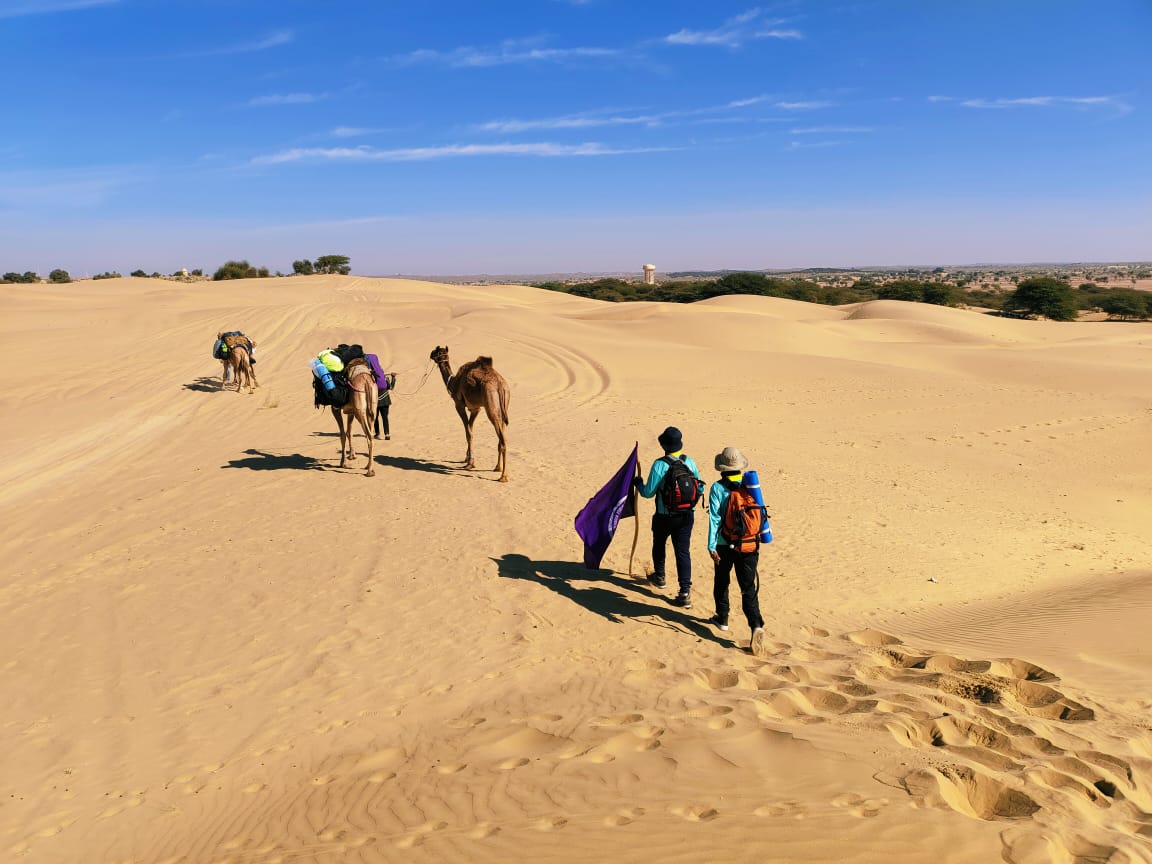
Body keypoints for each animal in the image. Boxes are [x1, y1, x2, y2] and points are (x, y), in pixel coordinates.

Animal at [428, 347, 509, 483]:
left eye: (436, 350)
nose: (430, 354)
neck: (453, 382)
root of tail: (500, 385)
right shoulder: (476, 409)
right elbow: (470, 430)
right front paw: (467, 458)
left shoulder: (459, 405)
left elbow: (468, 433)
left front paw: (470, 463)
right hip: (503, 408)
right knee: (501, 436)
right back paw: (497, 467)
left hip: (490, 405)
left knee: (502, 439)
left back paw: (503, 476)